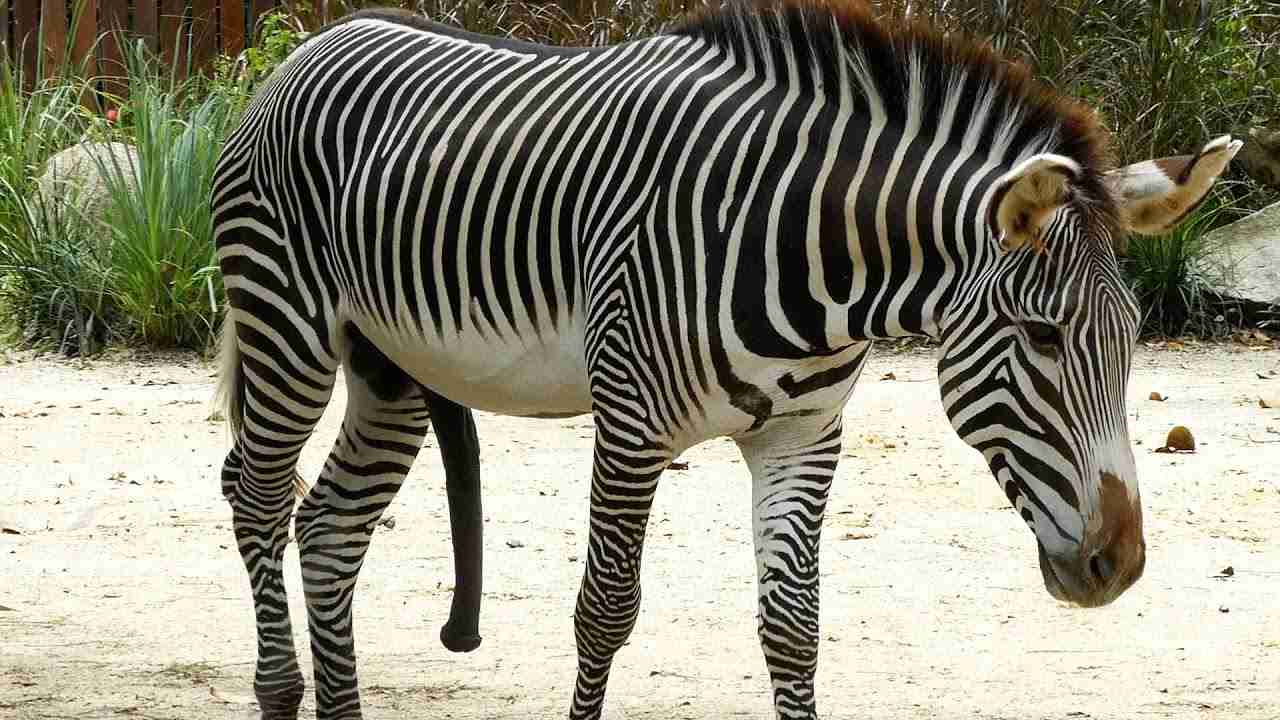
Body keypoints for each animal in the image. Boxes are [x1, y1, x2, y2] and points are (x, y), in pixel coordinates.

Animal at [210, 1, 1241, 718]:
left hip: (387, 367)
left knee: (330, 529)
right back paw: (277, 687)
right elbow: (604, 612)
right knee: (257, 494)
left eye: (1131, 341)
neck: (818, 260)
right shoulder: (629, 427)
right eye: (1043, 337)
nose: (1119, 566)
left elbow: (793, 628)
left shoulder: (803, 435)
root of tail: (311, 42)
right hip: (286, 324)